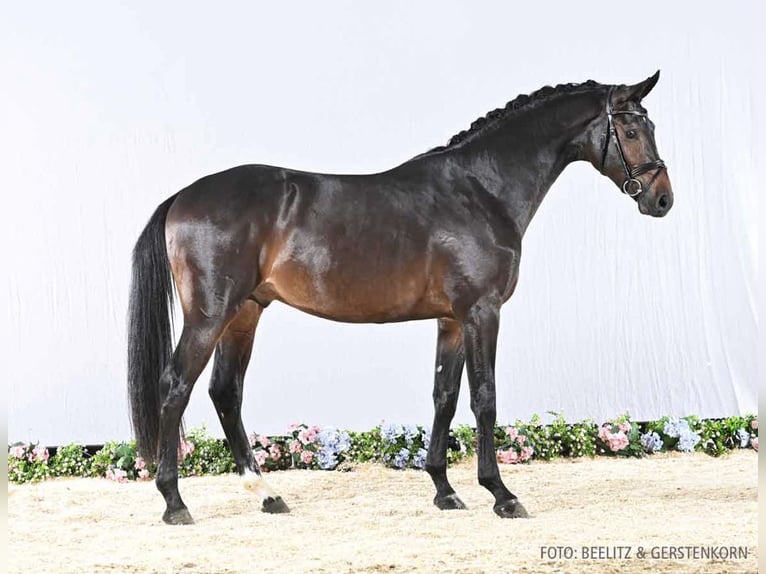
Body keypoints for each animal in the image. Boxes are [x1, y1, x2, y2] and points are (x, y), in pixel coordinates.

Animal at [129, 72, 676, 528]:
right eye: (631, 132)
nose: (662, 199)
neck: (481, 190)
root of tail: (183, 196)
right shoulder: (482, 312)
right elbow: (484, 398)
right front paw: (501, 494)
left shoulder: (452, 320)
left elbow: (444, 397)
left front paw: (445, 490)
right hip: (210, 314)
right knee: (176, 386)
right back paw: (174, 503)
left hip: (244, 313)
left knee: (226, 392)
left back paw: (267, 494)